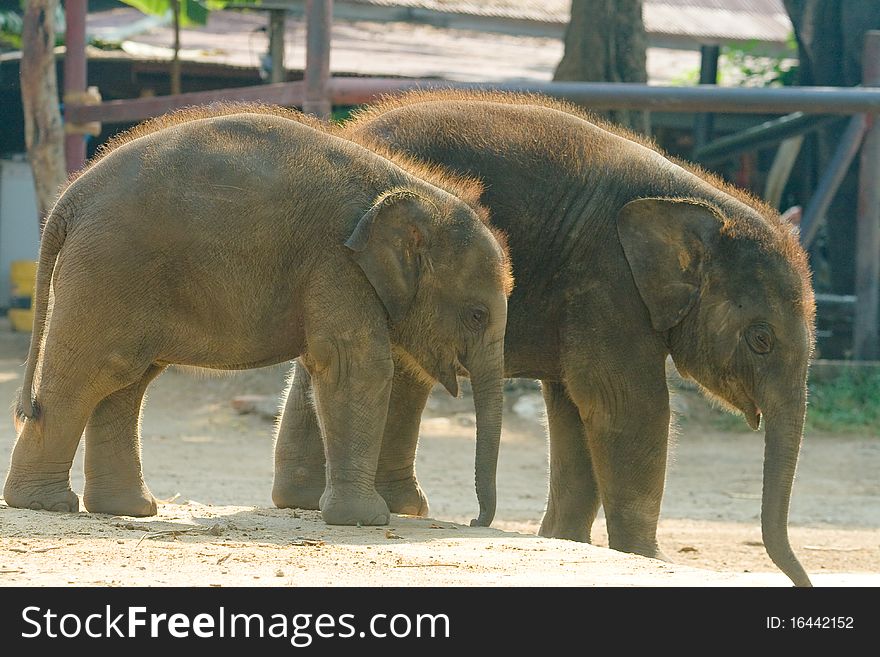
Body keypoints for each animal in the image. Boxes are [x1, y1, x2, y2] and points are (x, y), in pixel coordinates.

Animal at [1, 109, 508, 528]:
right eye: (477, 314)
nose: (476, 522)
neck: (414, 190)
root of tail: (69, 198)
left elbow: (333, 367)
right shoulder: (338, 263)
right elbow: (356, 366)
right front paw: (366, 522)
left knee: (127, 378)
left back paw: (129, 510)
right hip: (109, 267)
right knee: (95, 372)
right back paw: (45, 504)